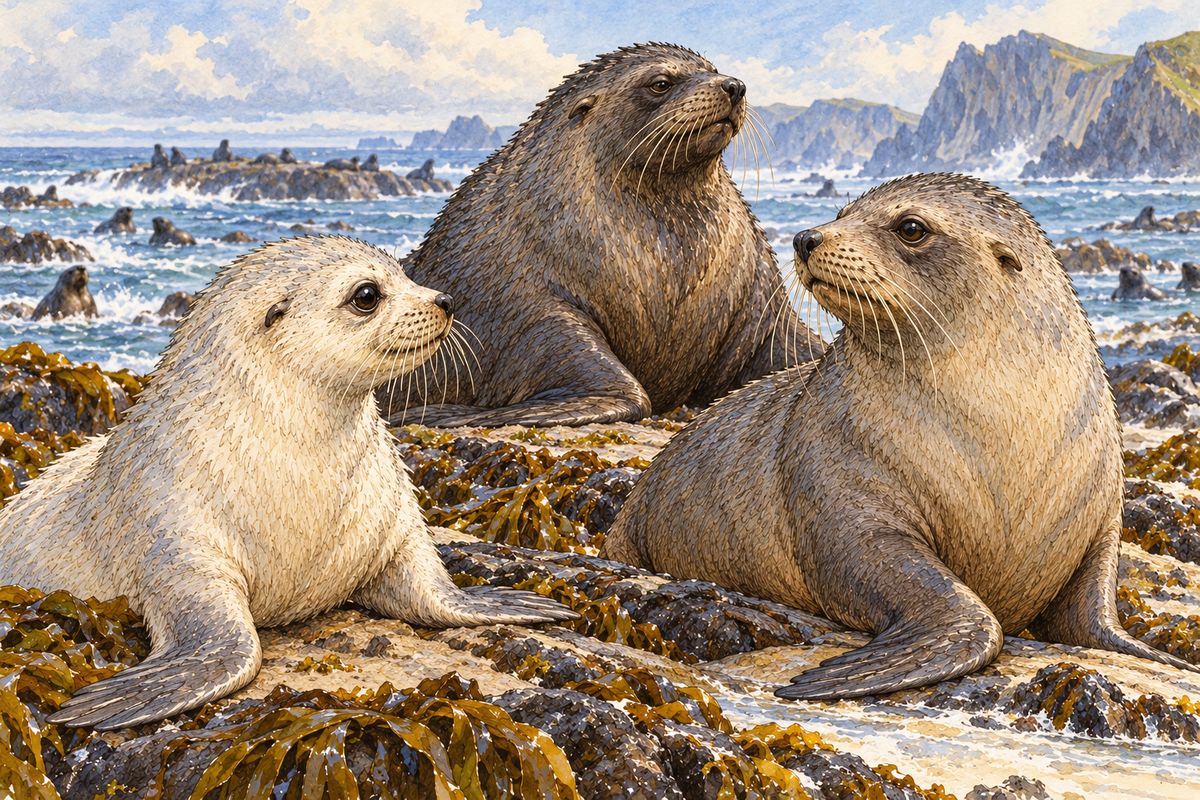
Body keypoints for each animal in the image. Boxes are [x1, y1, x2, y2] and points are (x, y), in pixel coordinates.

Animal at [0, 237, 573, 730]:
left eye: (404, 272)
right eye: (368, 294)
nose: (446, 300)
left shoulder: (394, 520)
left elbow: (430, 587)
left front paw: (514, 603)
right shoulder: (175, 542)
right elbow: (233, 644)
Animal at [383, 43, 820, 428]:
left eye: (712, 69)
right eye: (661, 83)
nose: (734, 84)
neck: (668, 263)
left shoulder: (762, 308)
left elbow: (799, 347)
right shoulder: (527, 305)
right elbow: (621, 389)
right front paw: (438, 413)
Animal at [603, 174, 1197, 699]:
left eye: (911, 227)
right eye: (842, 213)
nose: (805, 237)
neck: (1007, 430)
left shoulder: (1102, 516)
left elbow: (1094, 612)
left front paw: (1162, 656)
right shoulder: (840, 491)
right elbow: (954, 605)